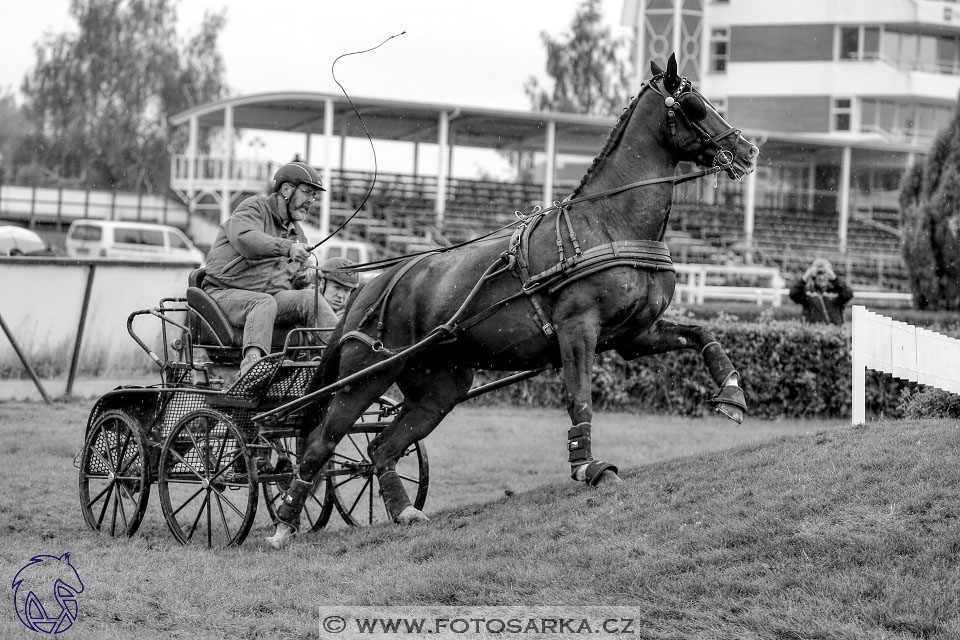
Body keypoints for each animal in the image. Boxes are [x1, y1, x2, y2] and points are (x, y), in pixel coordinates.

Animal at [266, 53, 760, 552]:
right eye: (696, 105)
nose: (749, 150)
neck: (608, 223)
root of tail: (369, 287)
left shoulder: (634, 335)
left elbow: (702, 333)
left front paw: (732, 394)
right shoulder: (578, 328)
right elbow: (580, 396)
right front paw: (588, 466)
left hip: (440, 384)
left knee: (380, 447)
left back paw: (402, 510)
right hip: (367, 374)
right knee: (321, 444)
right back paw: (283, 522)